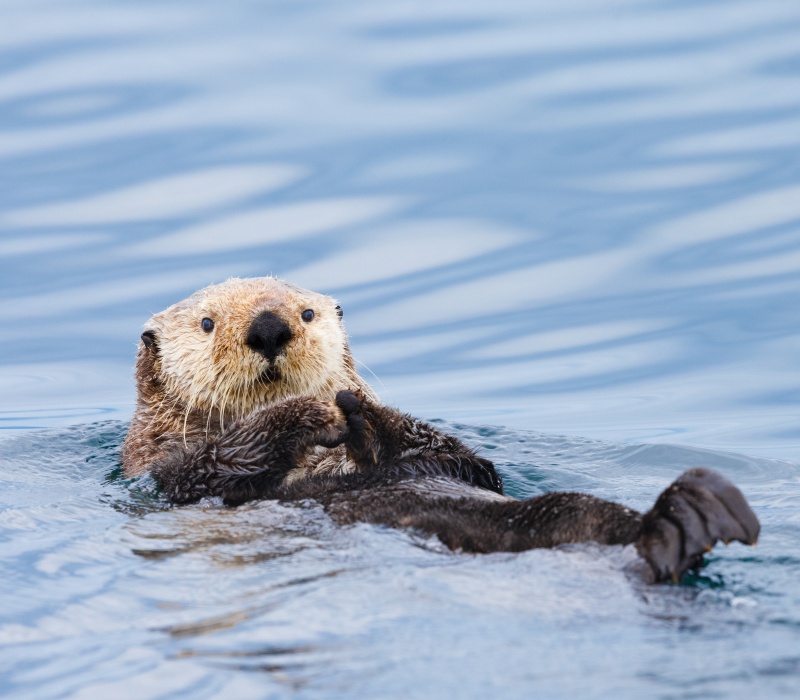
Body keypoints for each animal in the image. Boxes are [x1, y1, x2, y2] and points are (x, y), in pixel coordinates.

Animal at [124, 277, 759, 584]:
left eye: (306, 313)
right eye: (208, 324)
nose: (269, 326)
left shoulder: (460, 463)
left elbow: (463, 460)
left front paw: (359, 411)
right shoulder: (168, 473)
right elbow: (219, 463)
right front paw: (313, 413)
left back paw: (695, 512)